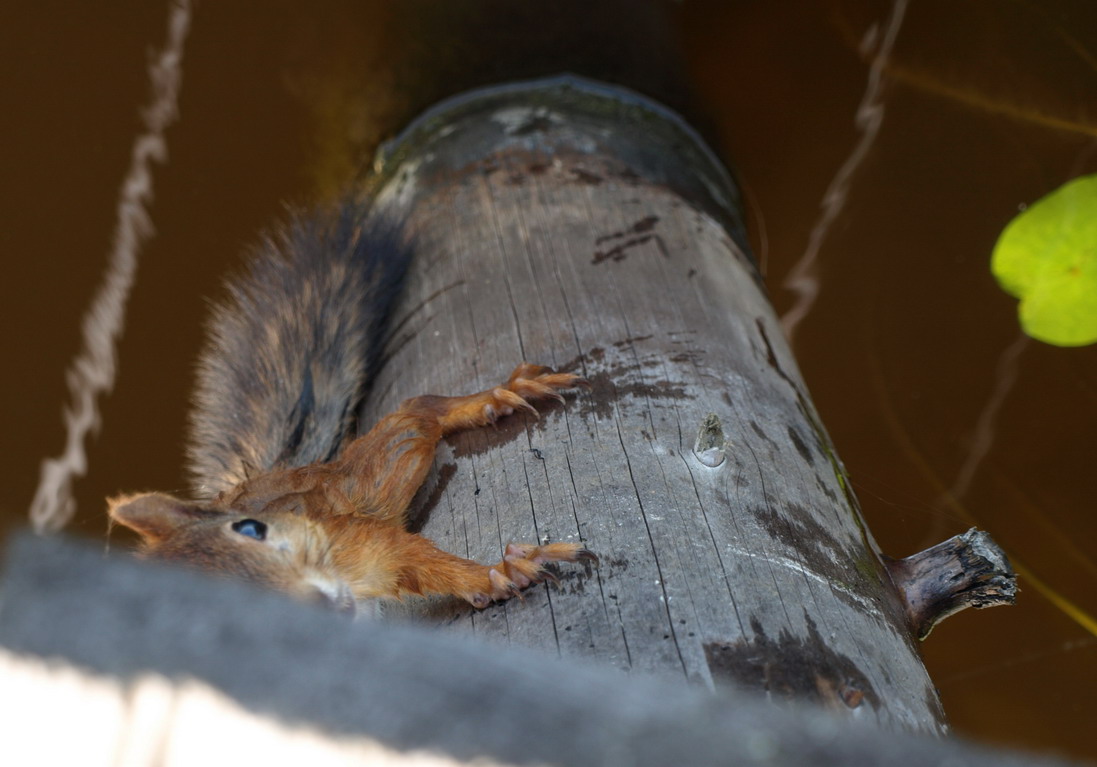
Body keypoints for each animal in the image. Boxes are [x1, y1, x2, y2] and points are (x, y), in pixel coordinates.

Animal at [106, 195, 596, 614]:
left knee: (417, 413)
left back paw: (497, 397)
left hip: (361, 480)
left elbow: (412, 558)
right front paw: (498, 575)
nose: (318, 604)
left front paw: (497, 572)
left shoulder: (354, 540)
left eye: (251, 529)